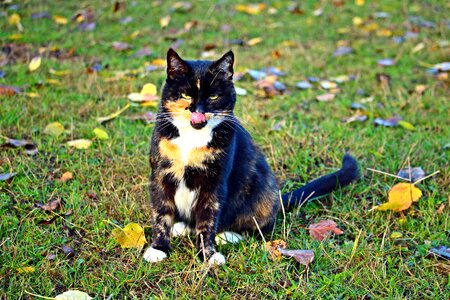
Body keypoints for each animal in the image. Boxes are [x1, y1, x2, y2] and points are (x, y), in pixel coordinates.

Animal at [144, 49, 358, 264]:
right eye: (185, 94)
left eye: (213, 96)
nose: (198, 111)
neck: (192, 138)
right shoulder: (161, 173)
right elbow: (161, 213)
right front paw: (159, 248)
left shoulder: (215, 181)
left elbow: (208, 218)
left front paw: (208, 255)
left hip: (263, 191)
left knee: (261, 226)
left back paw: (229, 235)